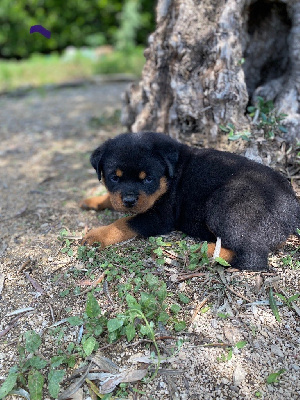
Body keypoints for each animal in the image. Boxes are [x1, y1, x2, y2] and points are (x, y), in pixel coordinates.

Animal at [79, 133, 300, 270]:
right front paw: (93, 200)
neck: (171, 175)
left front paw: (96, 235)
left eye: (148, 179)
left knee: (252, 257)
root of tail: (293, 208)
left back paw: (204, 251)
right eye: (114, 178)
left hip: (227, 205)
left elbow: (123, 223)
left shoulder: (160, 217)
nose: (129, 200)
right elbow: (111, 198)